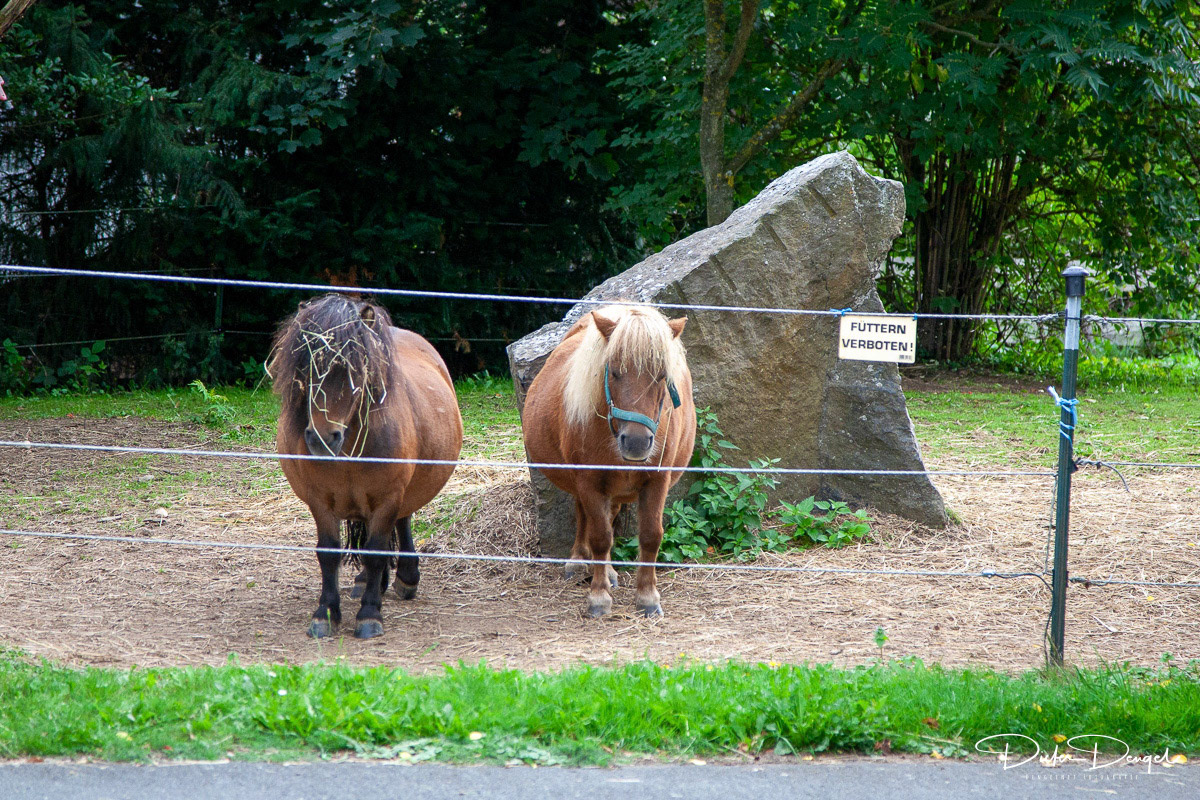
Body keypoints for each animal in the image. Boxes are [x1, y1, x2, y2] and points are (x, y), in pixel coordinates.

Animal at [268, 294, 462, 639]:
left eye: (353, 371)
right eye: (304, 368)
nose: (322, 438)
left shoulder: (388, 498)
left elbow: (375, 552)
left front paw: (370, 614)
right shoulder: (320, 501)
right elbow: (329, 553)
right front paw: (326, 612)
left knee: (401, 522)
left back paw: (405, 578)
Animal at [522, 304, 696, 618]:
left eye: (661, 375)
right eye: (613, 372)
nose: (636, 442)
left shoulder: (658, 480)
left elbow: (650, 535)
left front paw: (647, 596)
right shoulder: (589, 481)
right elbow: (600, 536)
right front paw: (598, 597)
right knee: (584, 517)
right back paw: (580, 561)